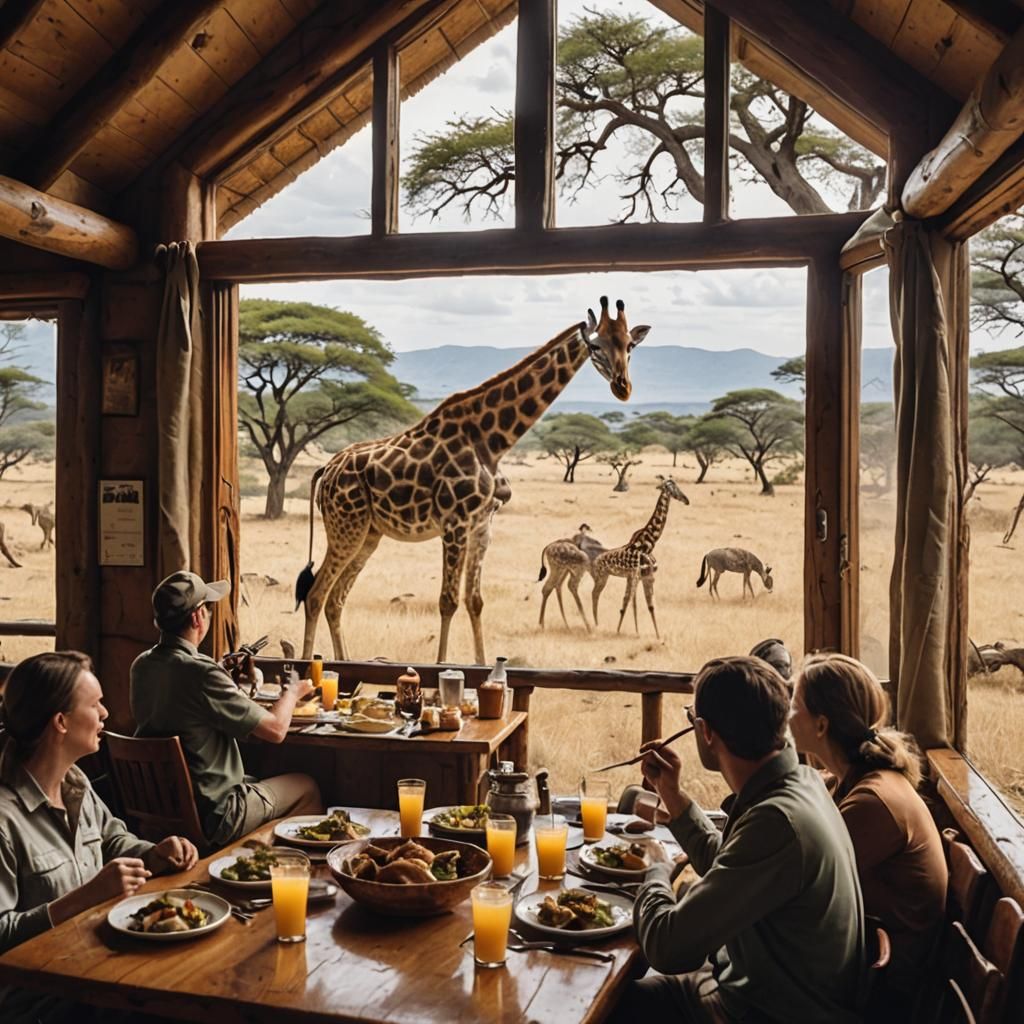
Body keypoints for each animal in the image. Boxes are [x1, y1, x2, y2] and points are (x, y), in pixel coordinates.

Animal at [297, 297, 651, 663]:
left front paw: (481, 664)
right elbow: (448, 601)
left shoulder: (482, 525)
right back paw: (308, 663)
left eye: (630, 345)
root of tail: (326, 470)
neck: (492, 440)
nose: (623, 387)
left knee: (336, 598)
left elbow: (475, 601)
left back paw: (341, 662)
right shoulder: (454, 522)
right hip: (346, 527)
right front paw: (442, 665)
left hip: (368, 533)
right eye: (595, 346)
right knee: (316, 593)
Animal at [590, 477, 689, 637]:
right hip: (602, 576)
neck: (648, 543)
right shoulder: (637, 575)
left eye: (677, 486)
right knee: (595, 595)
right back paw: (596, 624)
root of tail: (596, 560)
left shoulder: (645, 575)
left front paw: (651, 634)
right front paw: (619, 631)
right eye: (672, 488)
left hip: (611, 576)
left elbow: (645, 604)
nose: (686, 500)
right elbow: (628, 602)